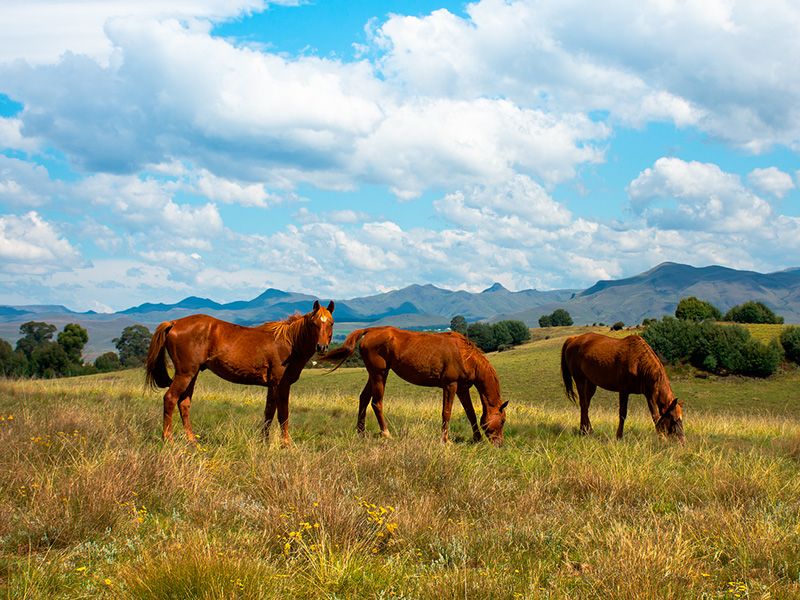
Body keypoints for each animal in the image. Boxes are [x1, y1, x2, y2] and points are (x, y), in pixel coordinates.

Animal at [145, 300, 334, 446]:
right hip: (185, 374)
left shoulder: (272, 386)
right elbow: (283, 414)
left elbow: (269, 413)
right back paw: (168, 439)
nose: (321, 347)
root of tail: (174, 322)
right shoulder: (281, 385)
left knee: (184, 403)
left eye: (330, 323)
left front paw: (264, 442)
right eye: (314, 323)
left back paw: (192, 440)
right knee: (170, 399)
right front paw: (286, 444)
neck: (289, 342)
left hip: (192, 374)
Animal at [322, 326, 510, 442]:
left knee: (363, 399)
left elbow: (470, 413)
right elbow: (446, 412)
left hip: (374, 374)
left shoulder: (462, 389)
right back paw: (386, 433)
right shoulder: (450, 385)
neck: (466, 356)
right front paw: (445, 440)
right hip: (379, 374)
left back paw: (361, 433)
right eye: (502, 421)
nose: (499, 444)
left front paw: (477, 438)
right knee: (376, 402)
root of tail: (370, 330)